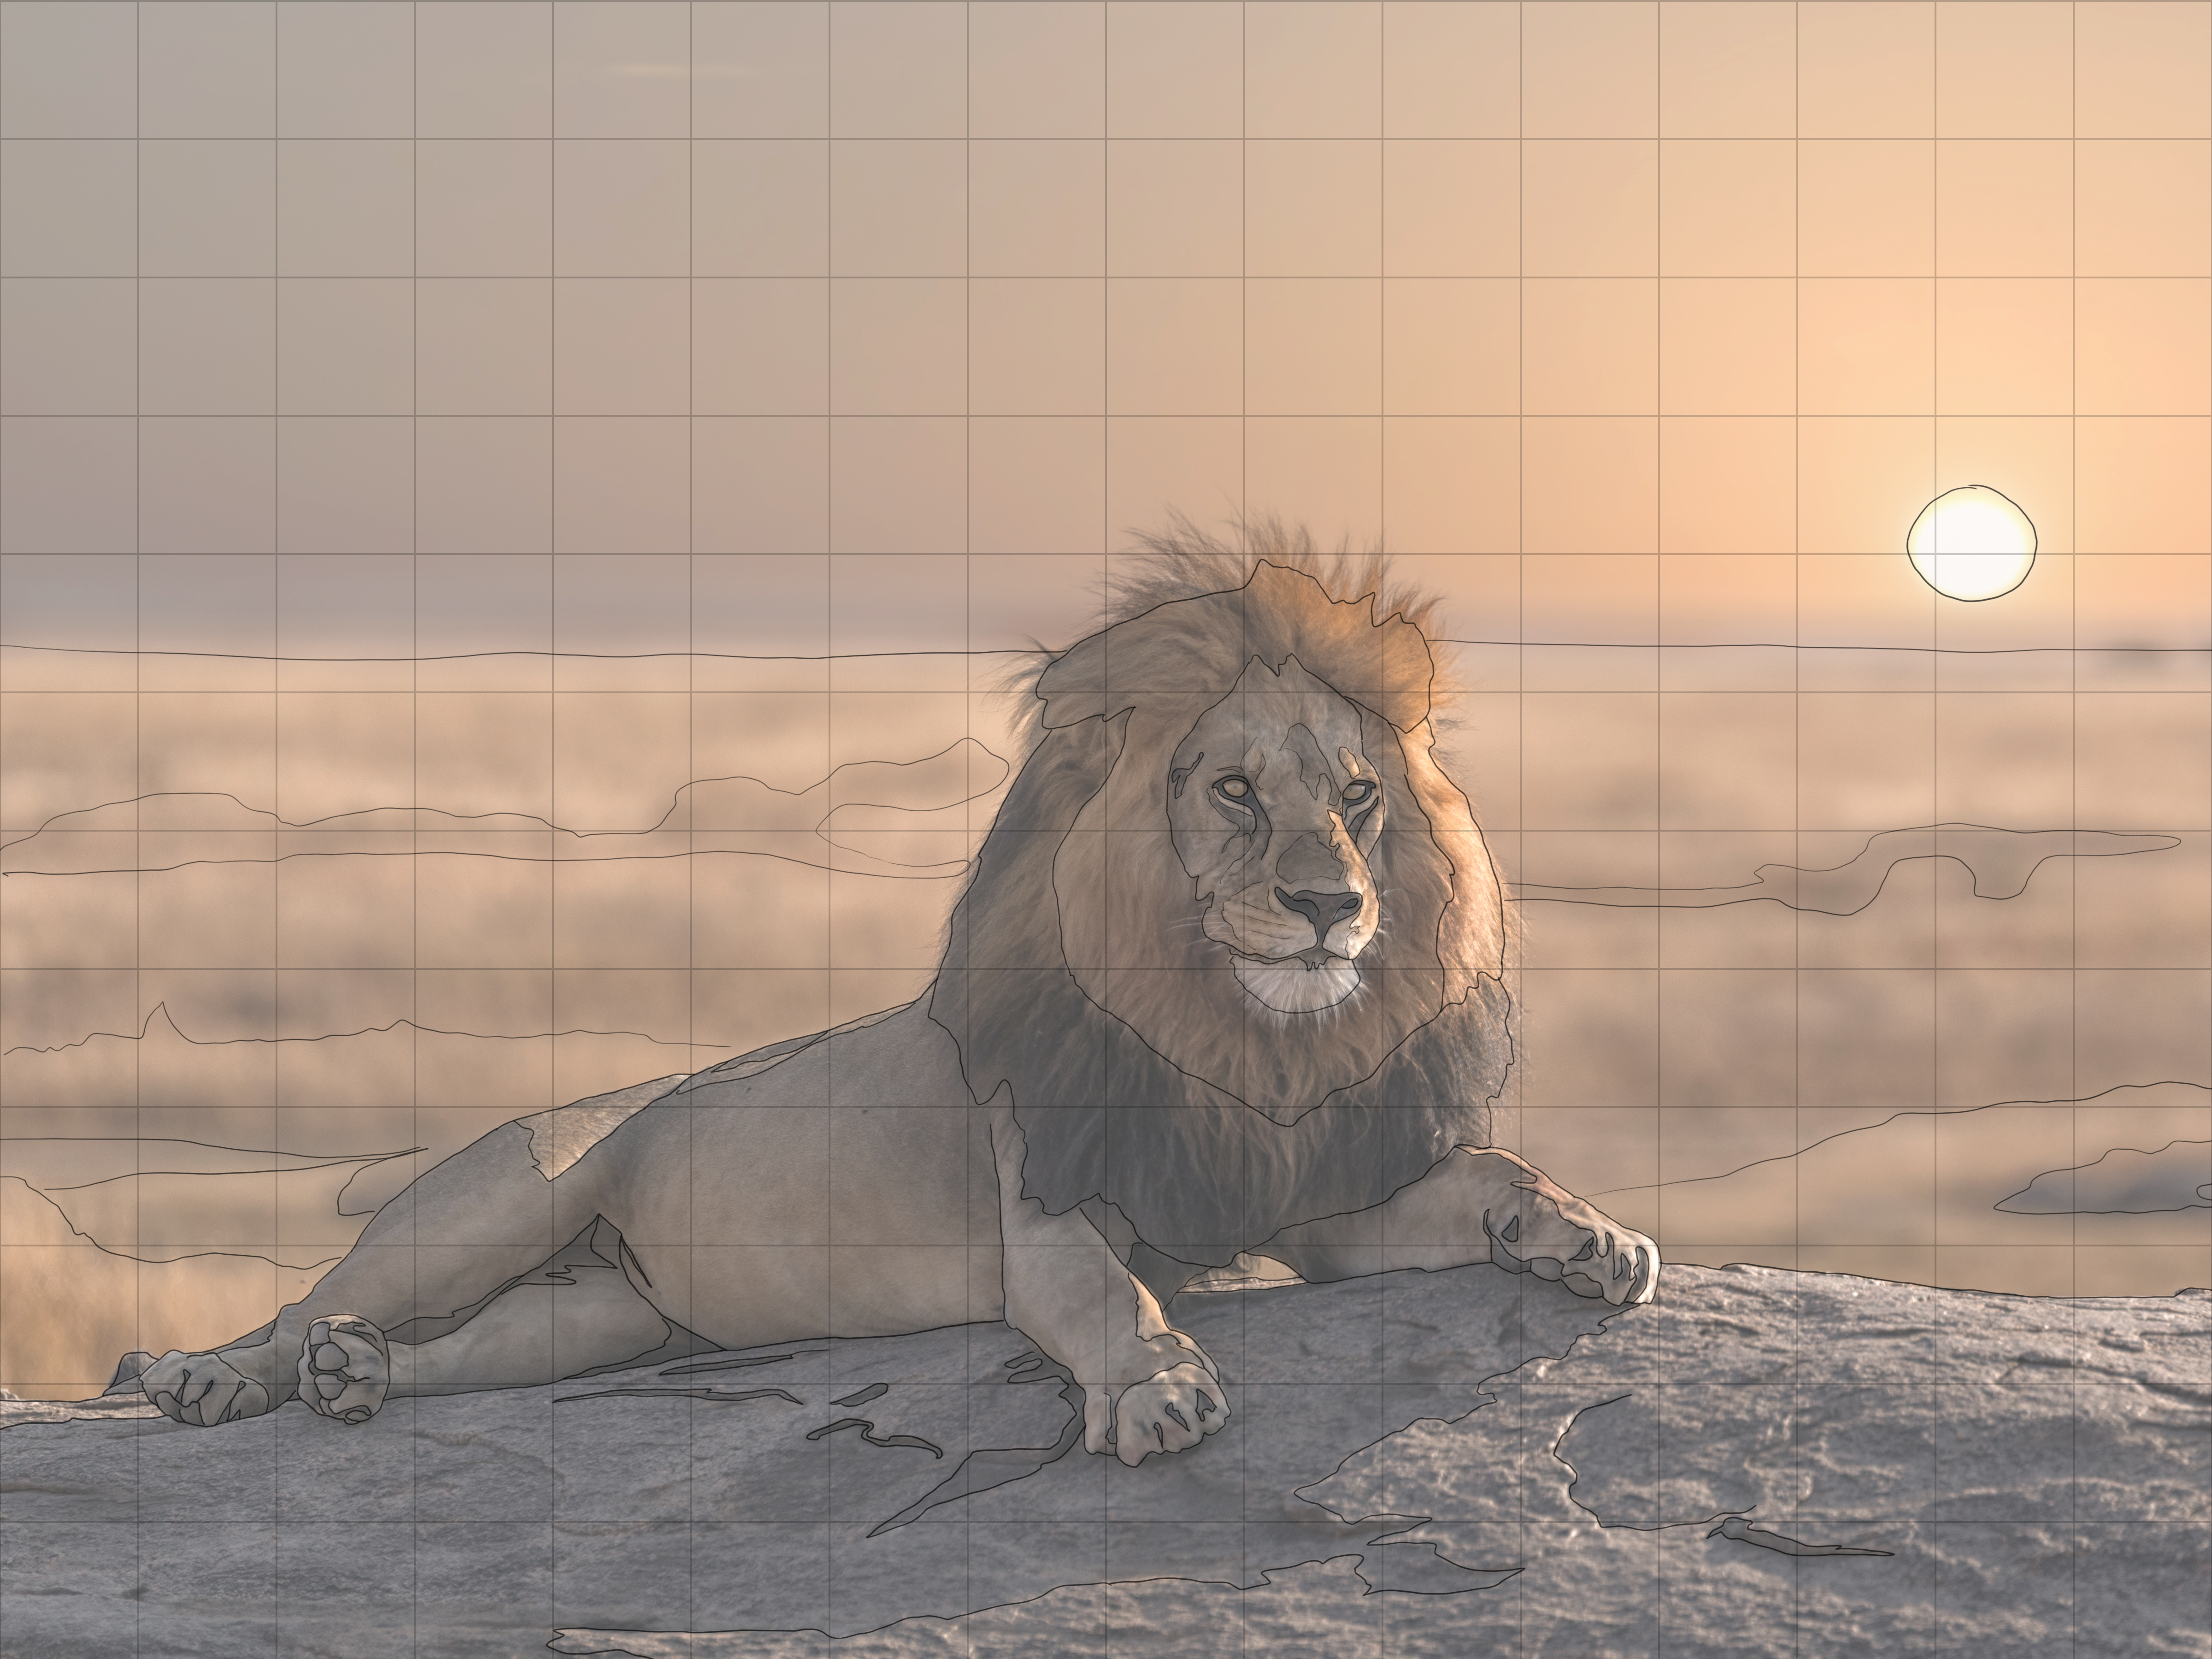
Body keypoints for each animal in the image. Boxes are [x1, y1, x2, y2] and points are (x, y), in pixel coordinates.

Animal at [134, 530, 1657, 1465]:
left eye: (1357, 795)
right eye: (1233, 789)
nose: (1332, 903)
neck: (1231, 1034)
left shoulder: (1308, 1203)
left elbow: (1488, 1172)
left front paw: (1590, 1234)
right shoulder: (1046, 1203)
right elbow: (1106, 1291)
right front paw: (1158, 1386)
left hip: (605, 1314)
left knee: (458, 1349)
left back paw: (357, 1379)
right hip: (495, 1199)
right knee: (307, 1300)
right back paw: (217, 1372)